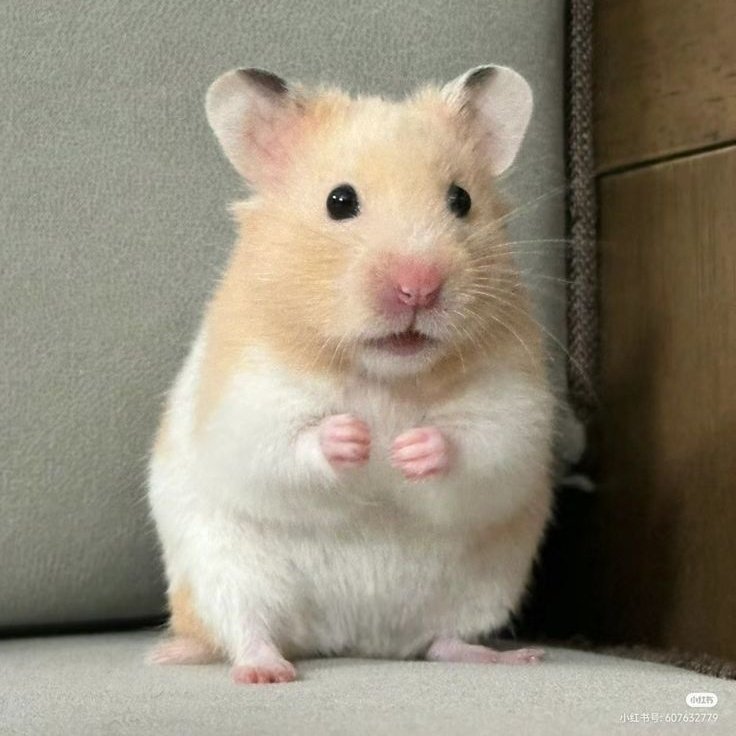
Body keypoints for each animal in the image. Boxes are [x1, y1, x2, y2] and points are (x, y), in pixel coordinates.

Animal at [147, 65, 555, 685]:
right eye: (339, 202)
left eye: (460, 200)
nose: (419, 286)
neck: (384, 374)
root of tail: (355, 637)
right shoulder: (246, 399)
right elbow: (284, 443)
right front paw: (355, 437)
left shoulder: (513, 404)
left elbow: (483, 444)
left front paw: (409, 448)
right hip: (226, 573)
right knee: (247, 632)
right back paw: (265, 672)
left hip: (482, 590)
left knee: (443, 641)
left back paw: (513, 656)